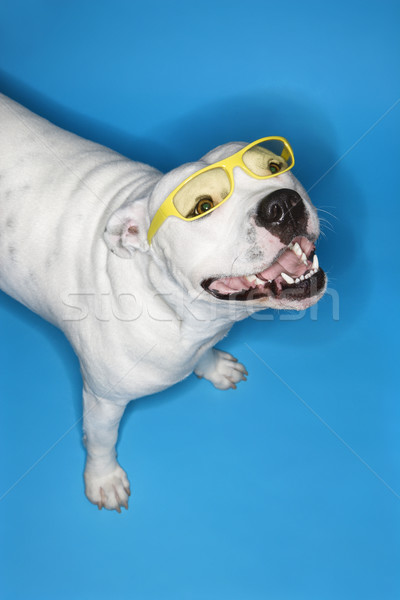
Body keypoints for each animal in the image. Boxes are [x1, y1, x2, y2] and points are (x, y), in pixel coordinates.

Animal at [0, 94, 324, 510]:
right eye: (202, 207)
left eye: (275, 167)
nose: (282, 203)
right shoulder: (102, 400)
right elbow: (101, 441)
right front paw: (103, 478)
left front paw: (212, 366)